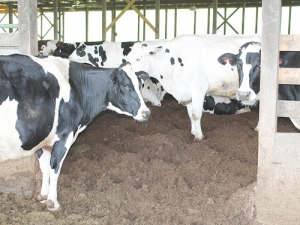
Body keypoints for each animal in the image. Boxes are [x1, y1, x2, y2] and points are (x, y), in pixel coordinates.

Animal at [0, 54, 150, 211]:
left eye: (140, 85)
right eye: (125, 85)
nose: (146, 113)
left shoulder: (41, 140)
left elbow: (45, 168)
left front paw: (43, 196)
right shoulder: (64, 136)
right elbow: (55, 169)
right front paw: (53, 202)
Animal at [125, 34, 262, 140]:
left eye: (138, 58)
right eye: (128, 58)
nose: (124, 69)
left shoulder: (199, 89)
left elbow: (196, 114)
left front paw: (199, 136)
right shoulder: (187, 93)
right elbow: (191, 115)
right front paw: (193, 132)